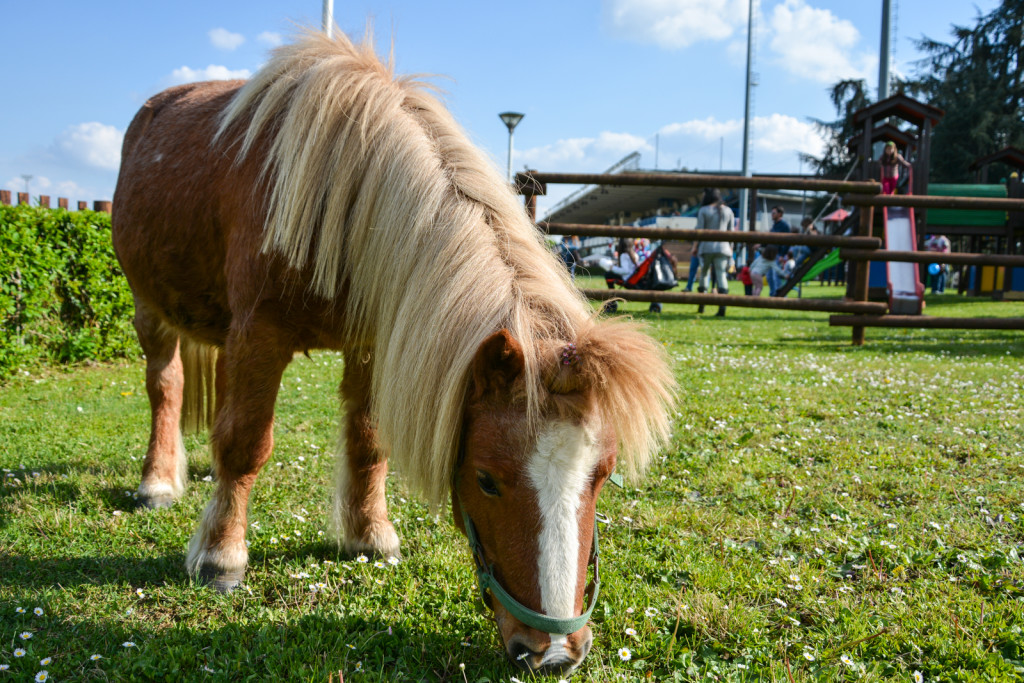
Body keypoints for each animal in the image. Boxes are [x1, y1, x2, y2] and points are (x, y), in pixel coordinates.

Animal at [112, 29, 675, 675]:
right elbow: (247, 440)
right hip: (151, 309)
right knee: (166, 387)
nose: (554, 654)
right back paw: (159, 481)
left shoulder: (367, 343)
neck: (340, 189)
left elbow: (367, 442)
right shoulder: (260, 333)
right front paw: (220, 555)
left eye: (601, 477)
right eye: (485, 479)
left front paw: (368, 535)